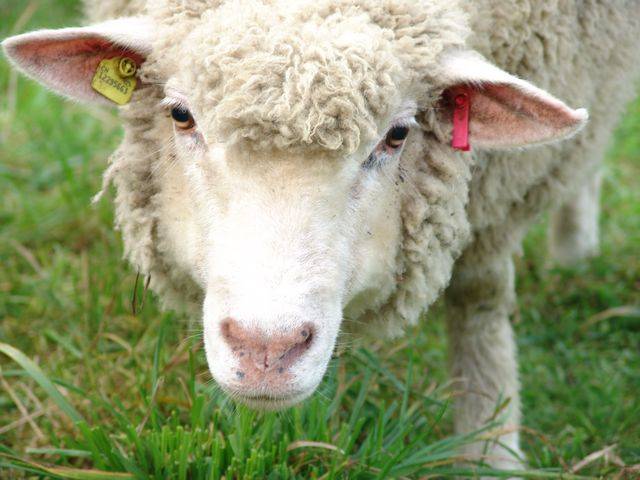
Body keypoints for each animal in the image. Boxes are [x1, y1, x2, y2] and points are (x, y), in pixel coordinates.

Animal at [3, 0, 639, 472]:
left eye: (398, 134)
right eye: (181, 116)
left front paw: (490, 448)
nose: (266, 349)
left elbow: (479, 297)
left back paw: (575, 248)